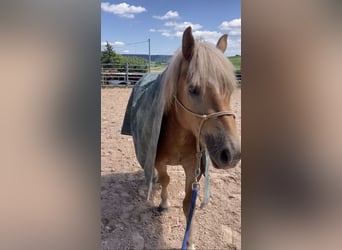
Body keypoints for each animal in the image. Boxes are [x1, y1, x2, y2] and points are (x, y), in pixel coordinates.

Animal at [154, 26, 242, 249]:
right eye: (193, 89)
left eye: (230, 90)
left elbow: (188, 204)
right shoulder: (159, 161)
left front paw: (190, 242)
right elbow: (166, 180)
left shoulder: (192, 167)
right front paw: (164, 203)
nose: (233, 153)